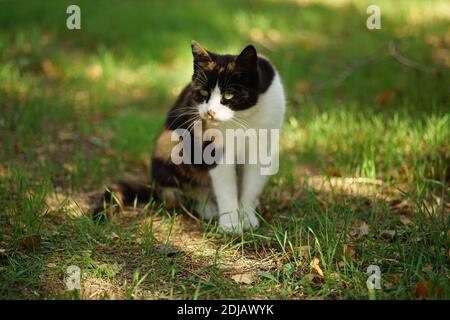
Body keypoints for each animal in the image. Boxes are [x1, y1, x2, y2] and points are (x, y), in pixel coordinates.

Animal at [93, 42, 286, 232]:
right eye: (203, 93)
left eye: (229, 94)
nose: (210, 112)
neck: (243, 119)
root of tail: (152, 185)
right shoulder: (213, 147)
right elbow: (225, 187)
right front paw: (230, 223)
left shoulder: (263, 145)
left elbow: (251, 186)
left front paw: (246, 218)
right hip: (170, 143)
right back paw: (208, 208)